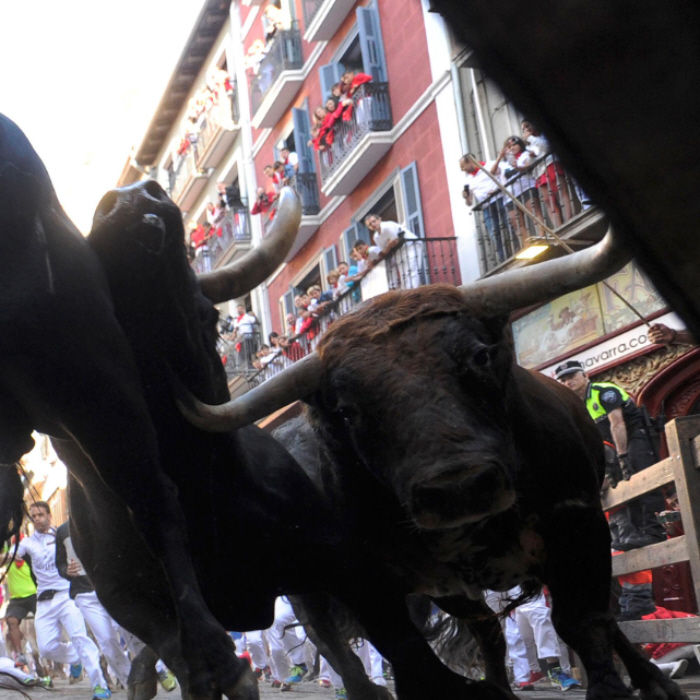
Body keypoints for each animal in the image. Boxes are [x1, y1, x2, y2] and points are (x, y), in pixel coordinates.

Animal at [179, 230, 688, 700]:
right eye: (346, 409)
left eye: (480, 356)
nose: (458, 487)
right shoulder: (413, 581)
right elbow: (426, 648)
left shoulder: (576, 519)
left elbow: (584, 619)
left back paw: (652, 681)